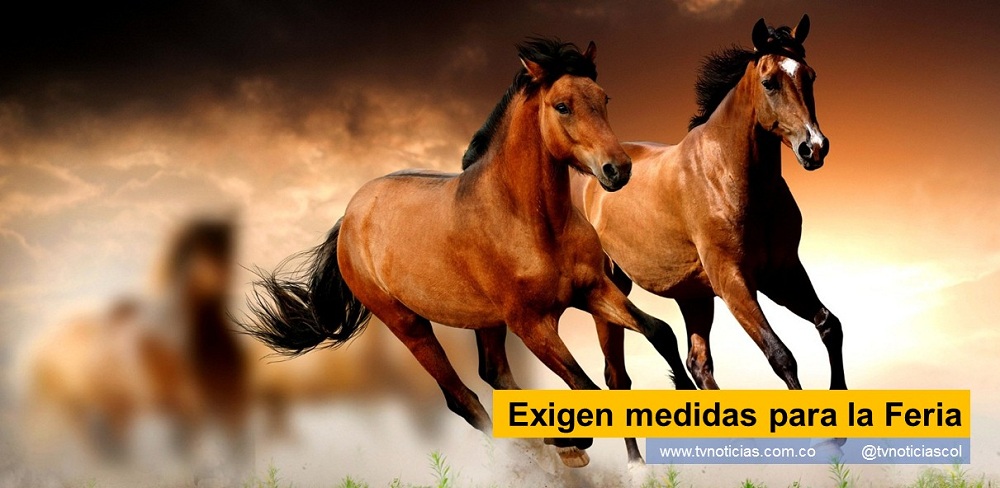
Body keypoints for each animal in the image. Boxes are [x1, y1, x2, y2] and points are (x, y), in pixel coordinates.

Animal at [23, 218, 249, 465]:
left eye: (227, 244)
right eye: (200, 248)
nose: (224, 278)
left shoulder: (231, 407)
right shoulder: (189, 409)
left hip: (116, 410)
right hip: (96, 409)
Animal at [241, 37, 695, 469]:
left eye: (604, 98)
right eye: (562, 106)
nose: (618, 170)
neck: (533, 223)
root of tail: (350, 217)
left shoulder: (594, 290)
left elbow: (659, 332)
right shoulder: (532, 323)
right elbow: (585, 387)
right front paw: (569, 443)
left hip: (486, 321)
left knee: (494, 374)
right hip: (408, 324)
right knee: (462, 399)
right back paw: (545, 451)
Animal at [565, 15, 844, 462]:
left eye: (810, 76)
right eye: (769, 82)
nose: (814, 148)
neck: (730, 174)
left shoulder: (782, 274)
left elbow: (829, 326)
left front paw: (839, 432)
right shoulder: (734, 282)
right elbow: (781, 355)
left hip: (693, 296)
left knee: (698, 364)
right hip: (611, 289)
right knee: (617, 376)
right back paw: (637, 465)